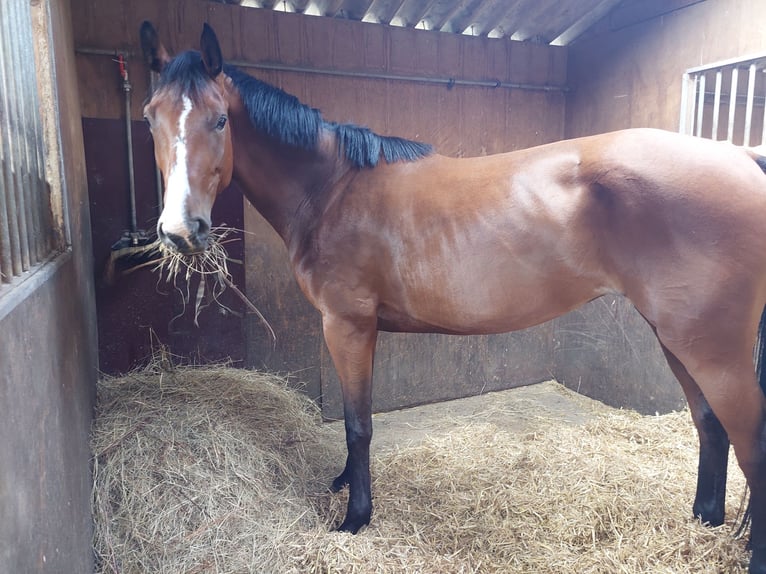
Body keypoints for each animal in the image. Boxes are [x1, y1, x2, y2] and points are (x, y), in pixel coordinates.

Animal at [141, 20, 766, 572]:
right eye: (150, 118)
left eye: (221, 119)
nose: (181, 230)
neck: (332, 187)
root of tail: (739, 156)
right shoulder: (355, 329)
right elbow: (352, 415)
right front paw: (343, 484)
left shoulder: (347, 325)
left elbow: (358, 423)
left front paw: (355, 518)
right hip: (675, 337)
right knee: (710, 425)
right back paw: (705, 521)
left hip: (711, 349)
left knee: (749, 441)